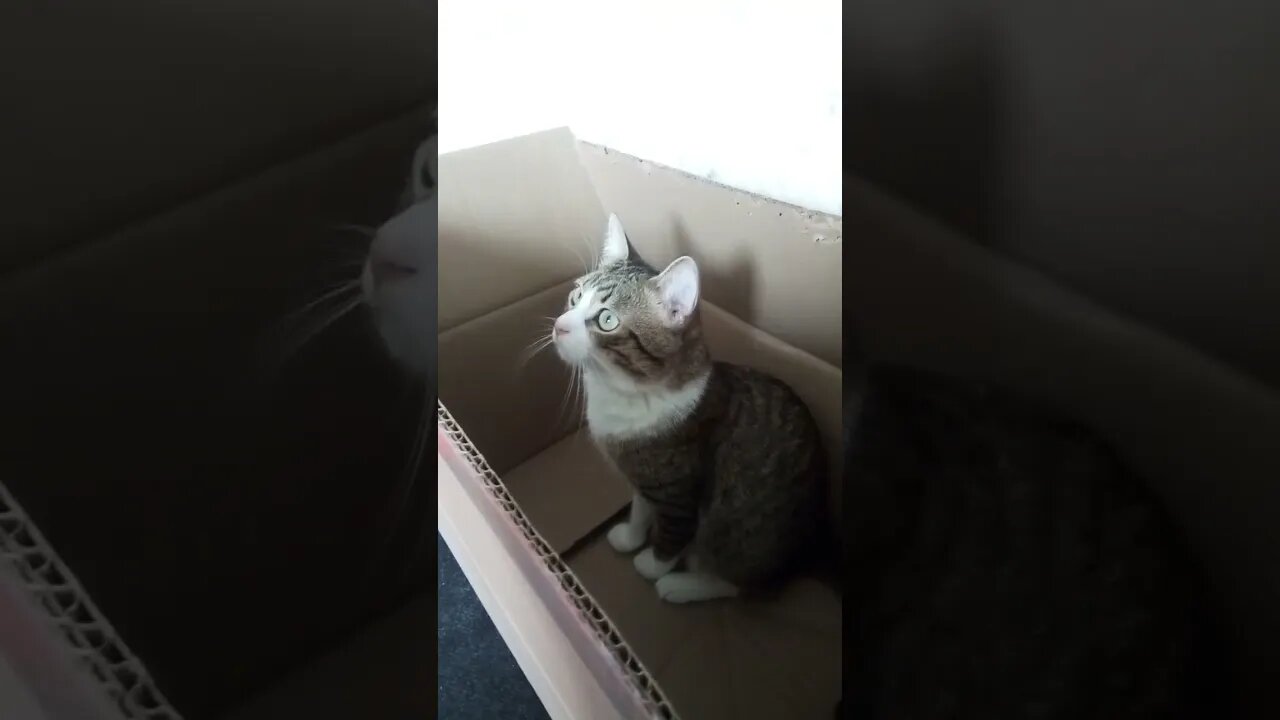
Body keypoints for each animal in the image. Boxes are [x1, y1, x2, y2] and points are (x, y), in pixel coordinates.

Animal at [552, 211, 829, 599]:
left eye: (607, 320)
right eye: (576, 295)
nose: (559, 326)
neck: (623, 393)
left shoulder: (676, 489)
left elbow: (673, 533)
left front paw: (652, 565)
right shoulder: (644, 477)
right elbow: (640, 507)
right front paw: (631, 536)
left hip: (745, 539)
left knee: (739, 583)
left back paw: (680, 585)